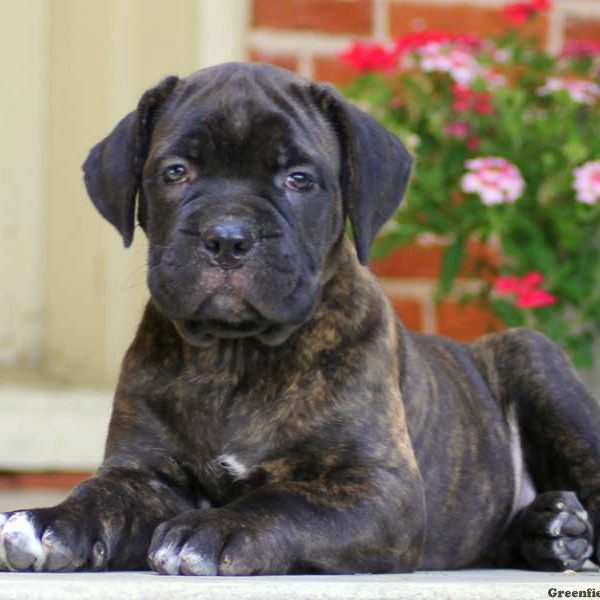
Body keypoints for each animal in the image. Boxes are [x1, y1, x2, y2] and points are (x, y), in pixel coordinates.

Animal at [1, 62, 600, 576]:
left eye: (299, 178)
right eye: (175, 172)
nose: (227, 237)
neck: (234, 357)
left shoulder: (379, 488)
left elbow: (287, 501)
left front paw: (217, 527)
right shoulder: (142, 473)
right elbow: (101, 495)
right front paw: (50, 520)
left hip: (534, 359)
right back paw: (552, 529)